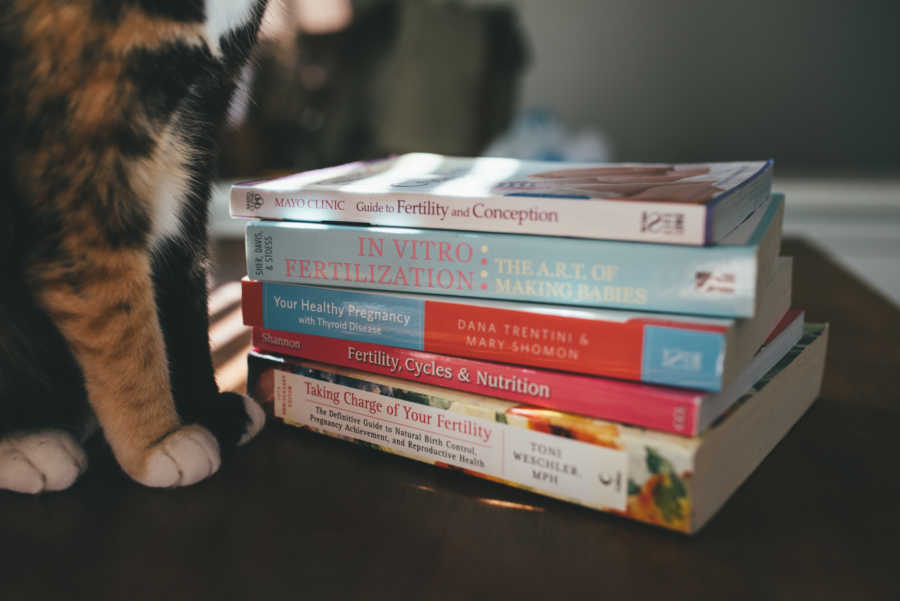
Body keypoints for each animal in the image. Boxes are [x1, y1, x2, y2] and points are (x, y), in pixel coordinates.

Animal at [1, 0, 272, 492]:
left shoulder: (195, 130)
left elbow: (185, 283)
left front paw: (207, 408)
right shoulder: (81, 162)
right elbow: (120, 323)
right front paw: (155, 443)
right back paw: (28, 448)